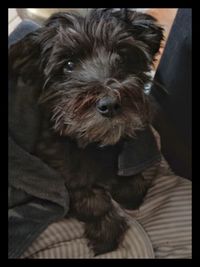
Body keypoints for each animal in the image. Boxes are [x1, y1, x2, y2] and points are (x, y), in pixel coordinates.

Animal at [8, 7, 163, 255]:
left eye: (122, 56)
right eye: (69, 64)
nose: (110, 104)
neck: (93, 144)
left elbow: (133, 181)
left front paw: (128, 190)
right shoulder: (58, 171)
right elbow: (91, 200)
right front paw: (105, 233)